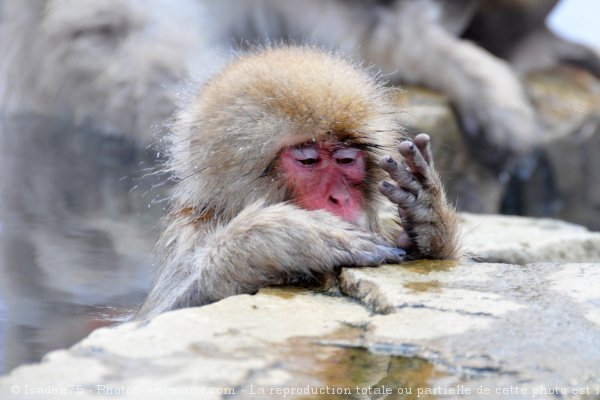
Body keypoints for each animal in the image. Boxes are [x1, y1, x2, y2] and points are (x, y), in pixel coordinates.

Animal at [136, 47, 460, 320]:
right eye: (308, 161)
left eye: (345, 159)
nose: (339, 198)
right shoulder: (192, 236)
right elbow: (159, 315)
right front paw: (281, 237)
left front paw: (425, 216)